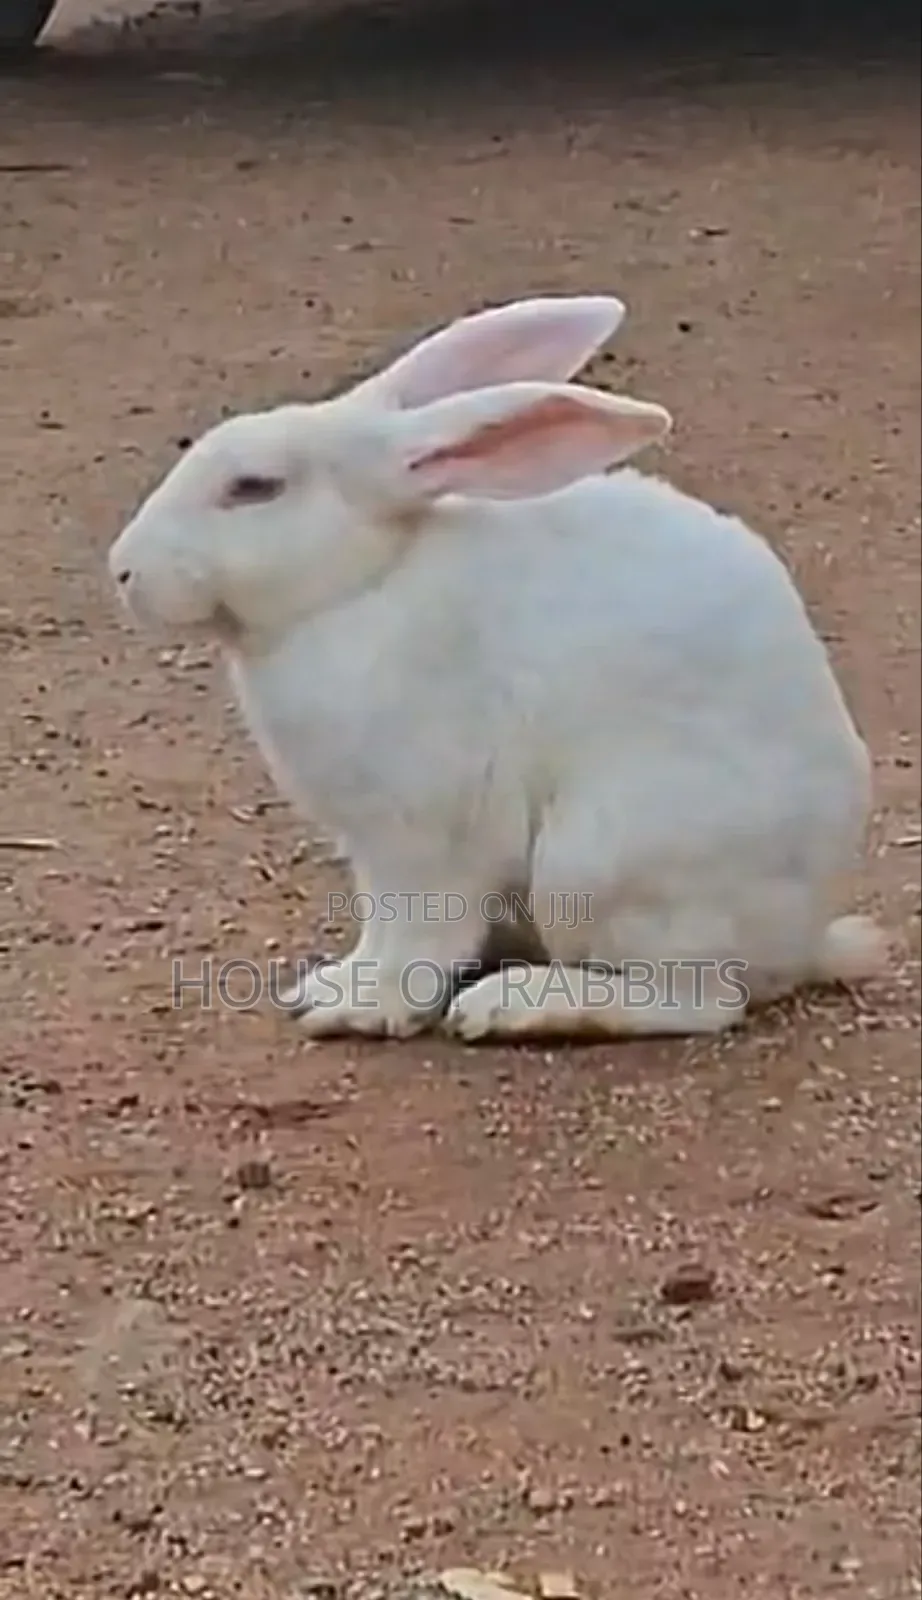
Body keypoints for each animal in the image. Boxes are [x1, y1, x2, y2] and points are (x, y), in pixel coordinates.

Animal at [108, 293, 887, 1043]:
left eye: (254, 487)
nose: (123, 570)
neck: (367, 581)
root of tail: (801, 942)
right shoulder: (375, 852)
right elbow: (380, 934)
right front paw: (329, 988)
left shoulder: (421, 837)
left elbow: (417, 935)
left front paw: (361, 1009)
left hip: (597, 862)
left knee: (697, 1001)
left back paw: (516, 1006)